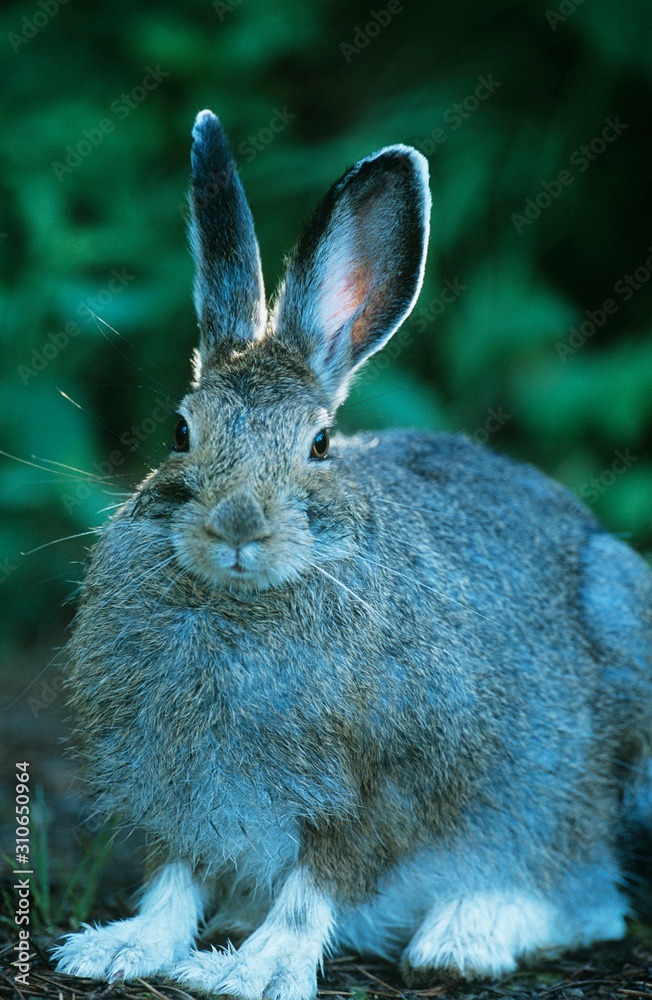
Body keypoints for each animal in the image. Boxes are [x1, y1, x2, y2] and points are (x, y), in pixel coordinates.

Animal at [53, 108, 652, 998]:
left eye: (321, 443)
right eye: (180, 431)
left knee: (583, 889)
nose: (238, 525)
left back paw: (464, 934)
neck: (247, 606)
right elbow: (177, 877)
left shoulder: (385, 788)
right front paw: (124, 950)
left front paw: (258, 970)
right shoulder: (182, 788)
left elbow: (319, 883)